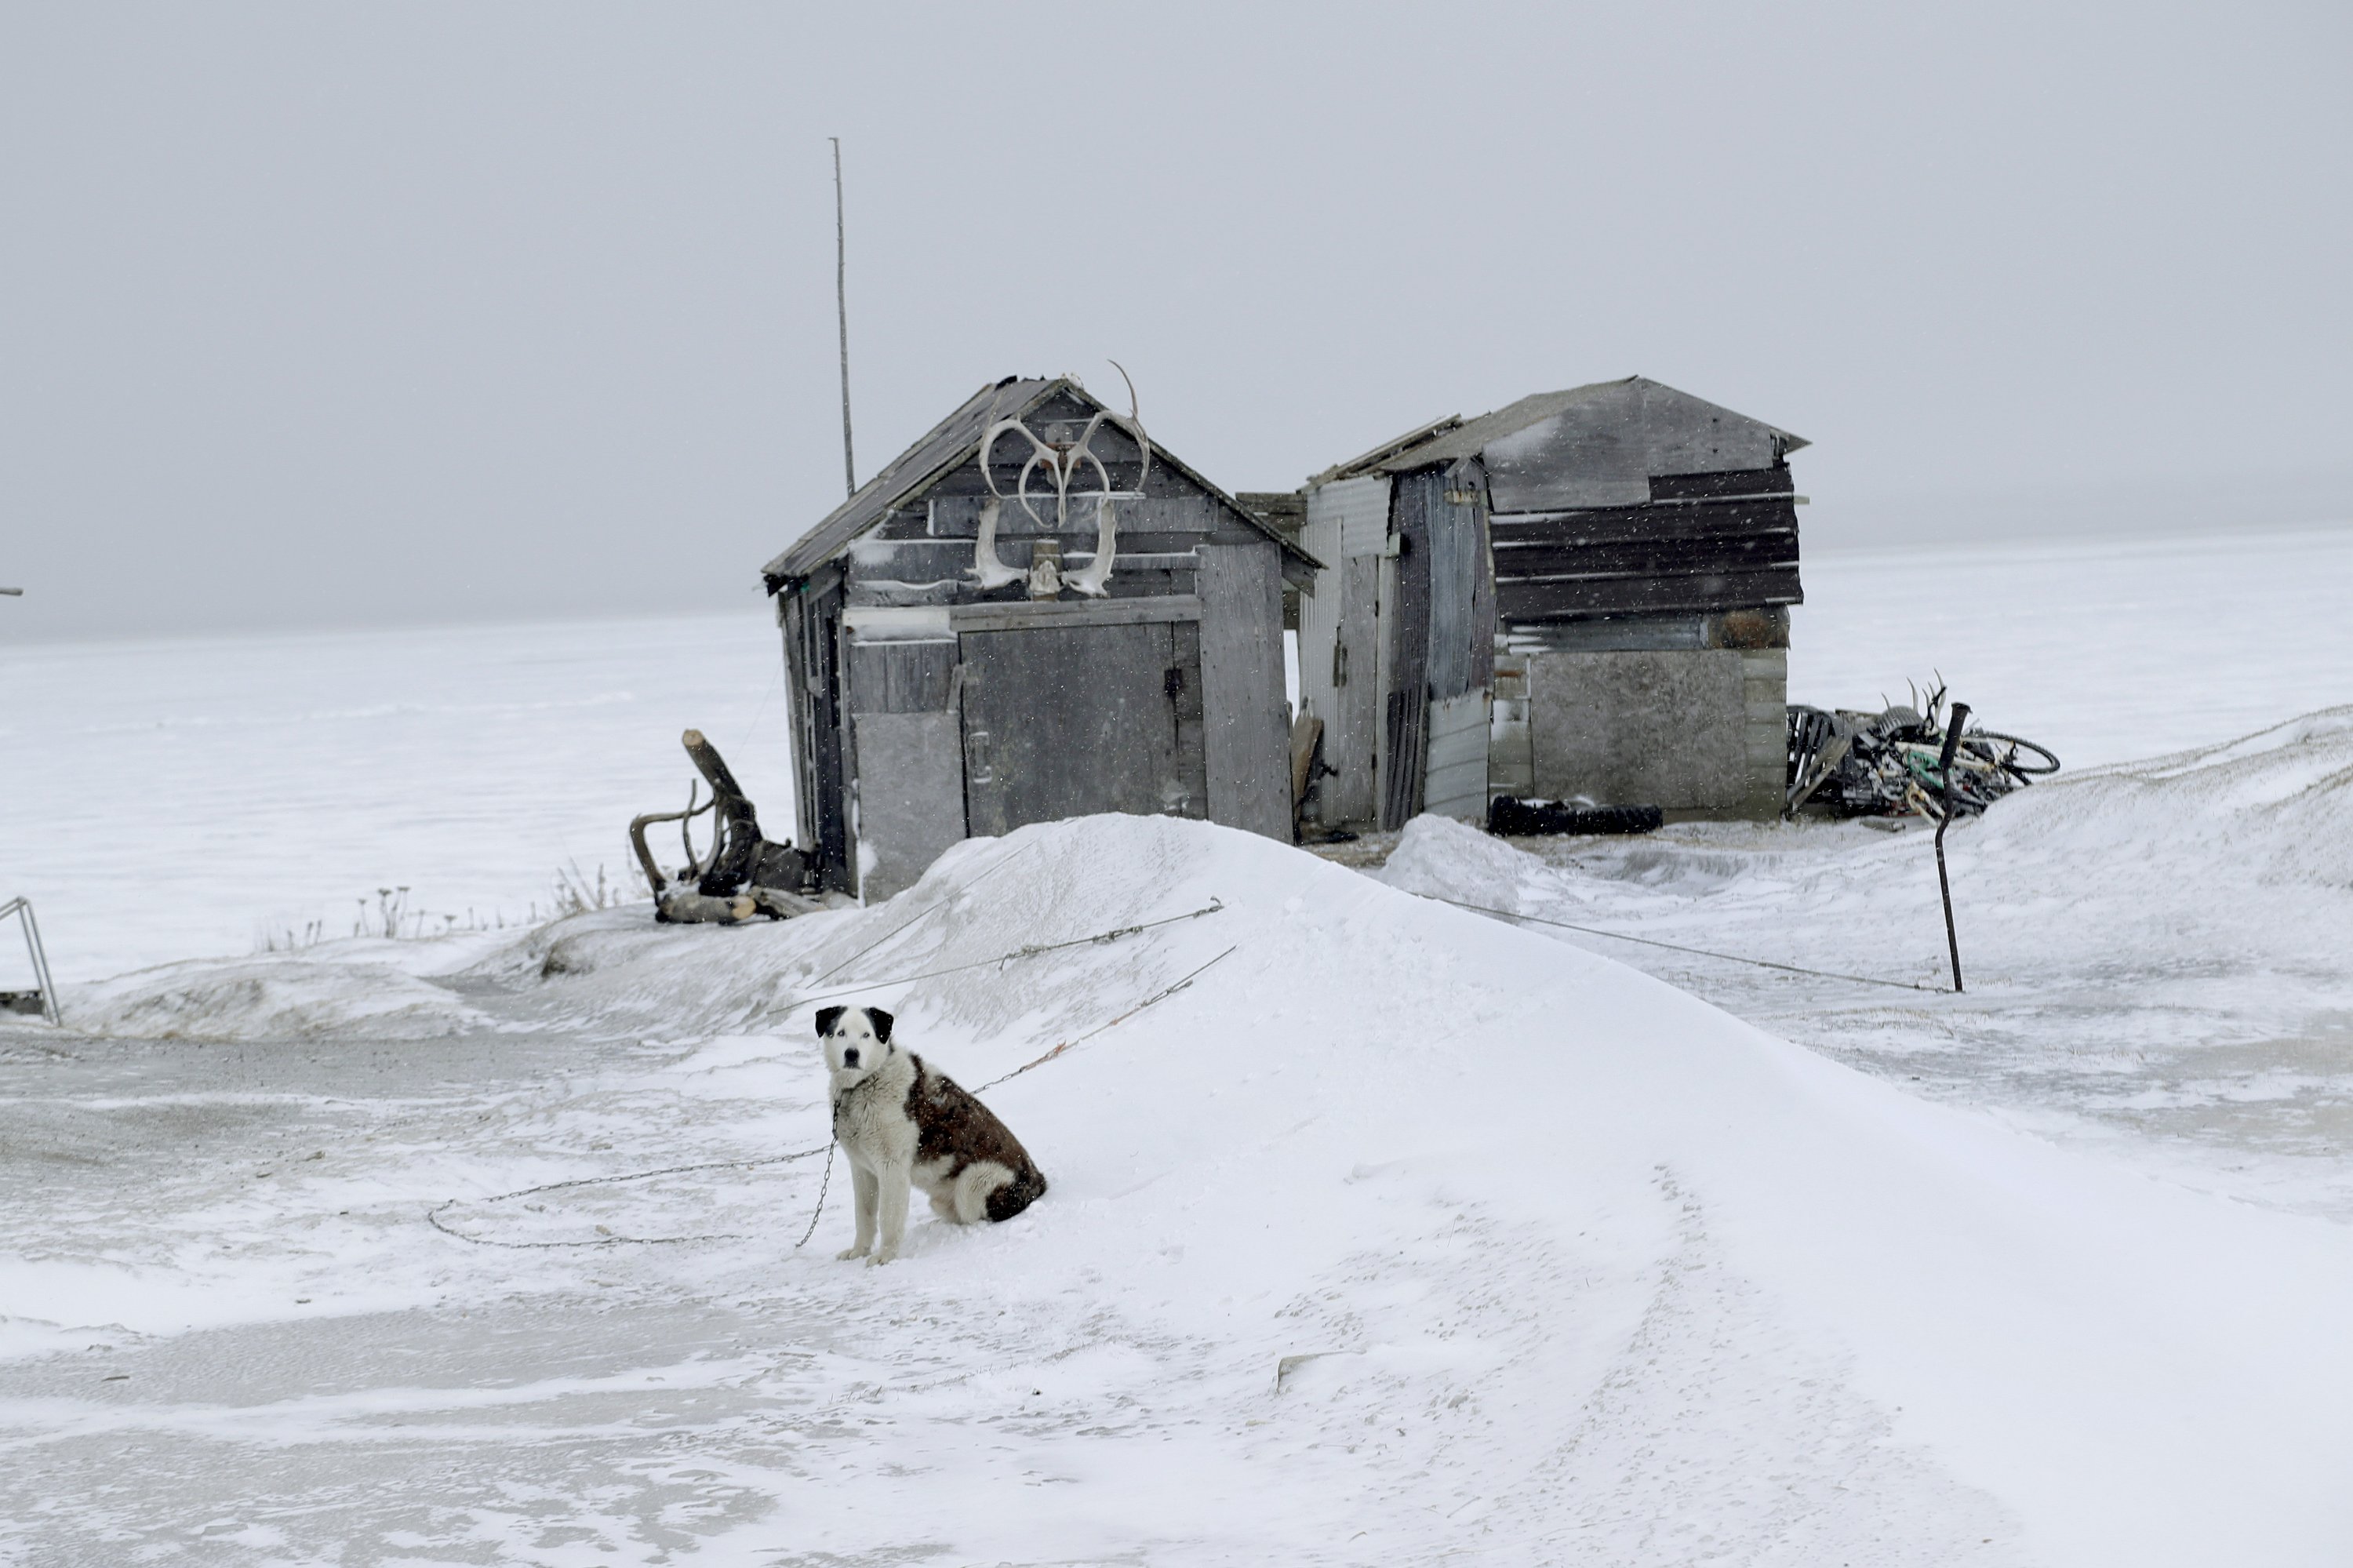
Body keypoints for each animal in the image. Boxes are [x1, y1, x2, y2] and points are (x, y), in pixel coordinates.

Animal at [824, 1007, 1054, 1261]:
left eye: (866, 1035)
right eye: (841, 1033)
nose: (851, 1054)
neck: (865, 1083)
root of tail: (1039, 1180)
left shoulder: (892, 1167)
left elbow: (888, 1216)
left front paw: (886, 1256)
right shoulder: (862, 1169)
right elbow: (863, 1215)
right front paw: (858, 1252)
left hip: (974, 1181)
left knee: (973, 1213)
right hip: (942, 1199)